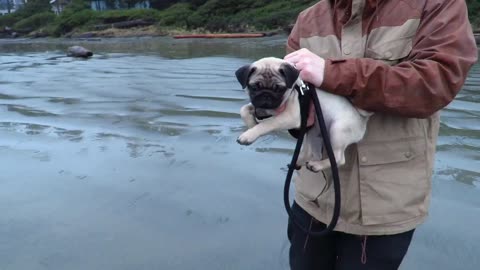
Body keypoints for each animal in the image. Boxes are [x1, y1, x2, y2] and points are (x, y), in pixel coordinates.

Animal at [234, 57, 374, 172]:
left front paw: (249, 135)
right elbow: (243, 109)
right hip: (314, 131)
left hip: (337, 130)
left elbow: (267, 123)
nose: (266, 95)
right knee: (311, 152)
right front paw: (251, 125)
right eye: (254, 88)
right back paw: (298, 162)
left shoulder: (290, 117)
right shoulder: (260, 108)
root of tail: (362, 118)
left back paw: (317, 165)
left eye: (279, 89)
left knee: (338, 158)